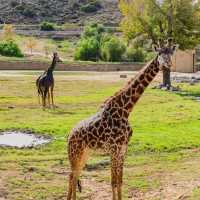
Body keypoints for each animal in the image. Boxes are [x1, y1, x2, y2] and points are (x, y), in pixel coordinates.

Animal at [67, 39, 177, 200]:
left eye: (171, 53)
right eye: (159, 53)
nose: (168, 64)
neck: (125, 110)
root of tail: (69, 136)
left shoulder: (123, 149)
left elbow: (120, 181)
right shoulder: (114, 149)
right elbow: (113, 182)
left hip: (85, 154)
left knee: (74, 176)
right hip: (75, 153)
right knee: (71, 176)